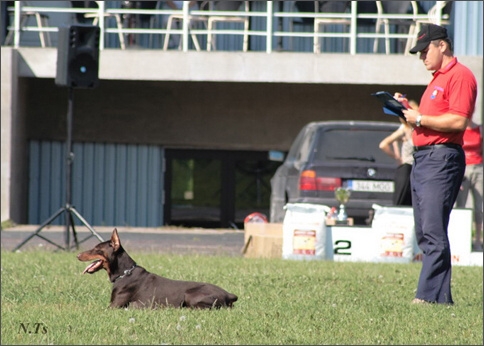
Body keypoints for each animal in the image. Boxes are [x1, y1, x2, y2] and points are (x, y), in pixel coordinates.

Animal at [77, 228, 238, 310]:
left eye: (97, 249)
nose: (77, 255)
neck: (125, 273)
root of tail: (229, 294)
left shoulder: (114, 306)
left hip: (190, 295)